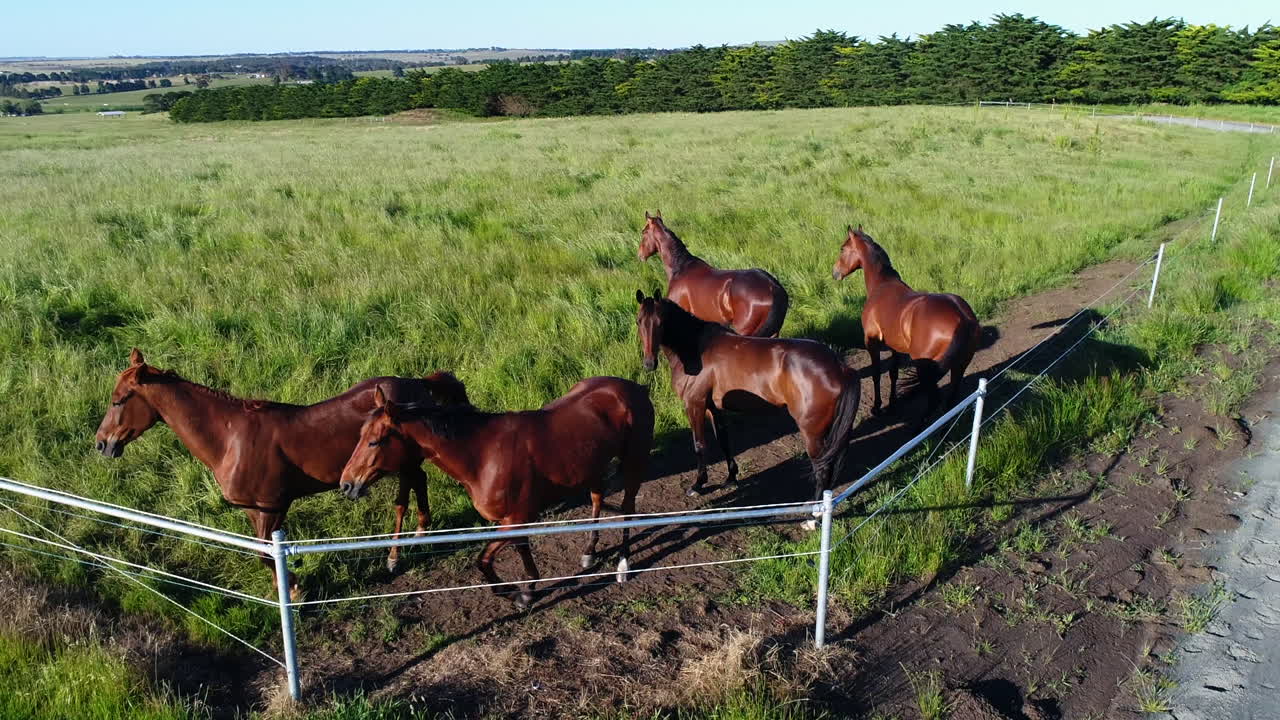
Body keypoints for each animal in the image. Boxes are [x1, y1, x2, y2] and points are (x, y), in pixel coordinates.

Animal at [94, 348, 444, 596]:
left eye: (119, 400)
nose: (101, 443)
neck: (229, 440)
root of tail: (417, 384)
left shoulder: (274, 506)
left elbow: (267, 554)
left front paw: (295, 588)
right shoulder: (254, 508)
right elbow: (264, 553)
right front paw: (284, 585)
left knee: (406, 495)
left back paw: (395, 555)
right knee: (419, 482)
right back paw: (420, 532)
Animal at [339, 374, 654, 610]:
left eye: (374, 441)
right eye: (360, 436)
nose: (346, 484)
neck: (483, 455)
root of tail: (636, 388)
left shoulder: (516, 518)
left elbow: (485, 559)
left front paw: (520, 593)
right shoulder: (512, 520)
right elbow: (508, 553)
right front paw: (523, 590)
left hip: (634, 462)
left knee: (627, 510)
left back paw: (622, 566)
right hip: (593, 465)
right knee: (597, 498)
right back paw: (589, 552)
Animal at [634, 290, 860, 506]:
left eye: (660, 322)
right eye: (639, 321)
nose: (649, 363)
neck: (698, 349)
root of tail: (839, 366)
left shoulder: (695, 404)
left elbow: (699, 445)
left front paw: (698, 484)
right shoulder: (714, 408)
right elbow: (723, 440)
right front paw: (730, 478)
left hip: (811, 432)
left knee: (822, 468)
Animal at [832, 225, 980, 420]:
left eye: (842, 248)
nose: (834, 272)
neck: (882, 284)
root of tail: (963, 318)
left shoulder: (871, 342)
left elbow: (876, 374)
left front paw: (877, 407)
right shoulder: (894, 346)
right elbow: (893, 373)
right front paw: (893, 403)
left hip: (926, 368)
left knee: (934, 400)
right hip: (959, 366)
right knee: (951, 400)